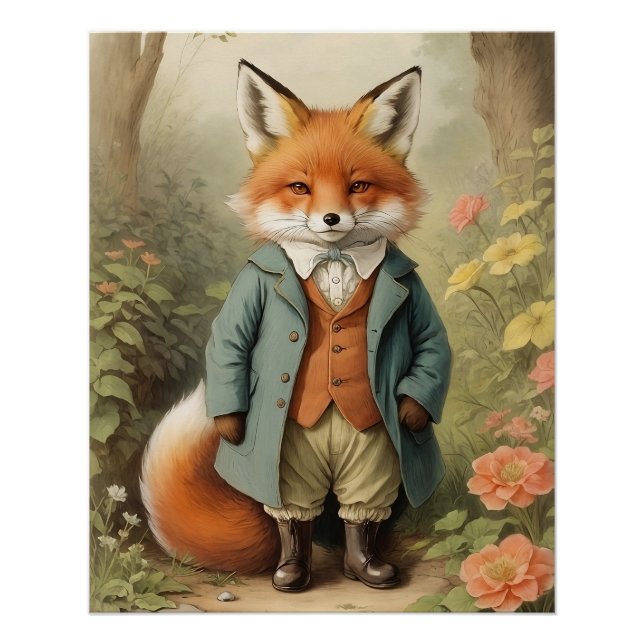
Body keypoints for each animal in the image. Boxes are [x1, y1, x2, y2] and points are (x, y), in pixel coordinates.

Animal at [140, 61, 451, 591]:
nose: (331, 219)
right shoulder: (250, 290)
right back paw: (291, 568)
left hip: (371, 447)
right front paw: (229, 423)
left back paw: (363, 565)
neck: (333, 259)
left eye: (357, 186)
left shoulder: (414, 295)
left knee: (359, 505)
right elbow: (230, 342)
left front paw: (412, 410)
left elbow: (431, 343)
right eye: (300, 187)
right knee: (293, 509)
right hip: (289, 456)